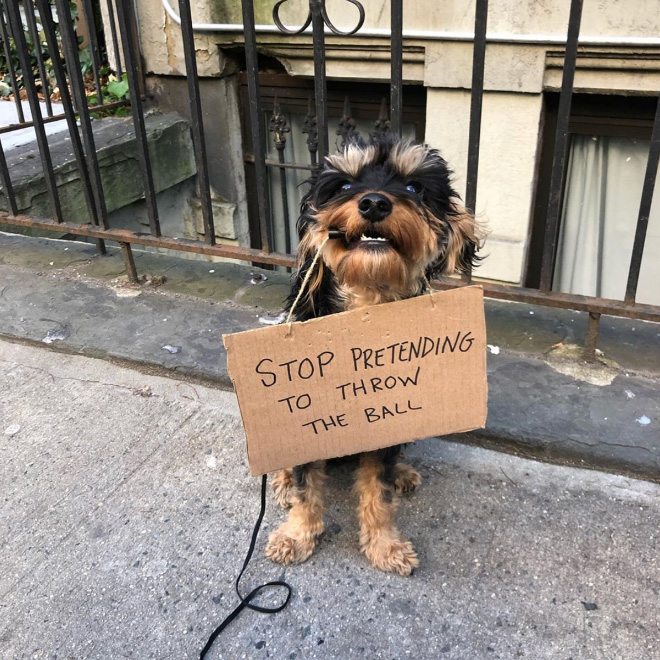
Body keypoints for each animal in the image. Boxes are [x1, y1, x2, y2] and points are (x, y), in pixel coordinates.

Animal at [264, 137, 484, 576]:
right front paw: (296, 535)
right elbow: (306, 486)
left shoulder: (384, 423)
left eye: (415, 187)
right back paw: (281, 480)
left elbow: (377, 492)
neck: (366, 304)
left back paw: (401, 472)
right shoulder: (310, 425)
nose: (375, 204)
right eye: (346, 185)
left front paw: (384, 544)